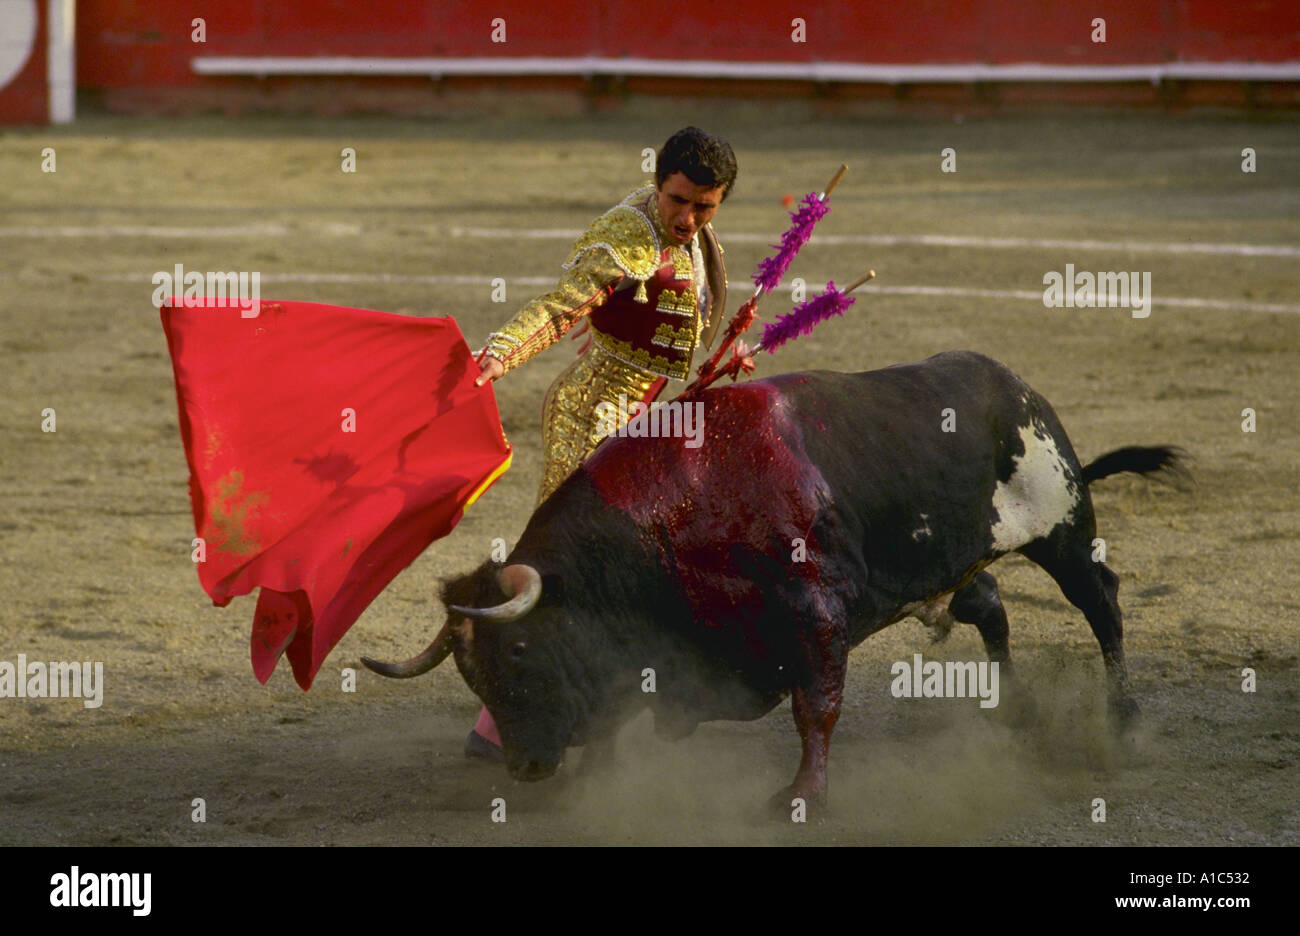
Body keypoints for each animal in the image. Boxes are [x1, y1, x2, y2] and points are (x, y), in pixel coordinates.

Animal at [361, 351, 1185, 806]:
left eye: (523, 653)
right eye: (474, 677)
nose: (528, 768)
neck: (675, 512)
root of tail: (1013, 386)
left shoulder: (814, 614)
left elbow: (814, 709)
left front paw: (802, 797)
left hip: (1063, 524)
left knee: (1103, 606)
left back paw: (1124, 717)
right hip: (963, 560)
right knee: (992, 612)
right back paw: (1012, 710)